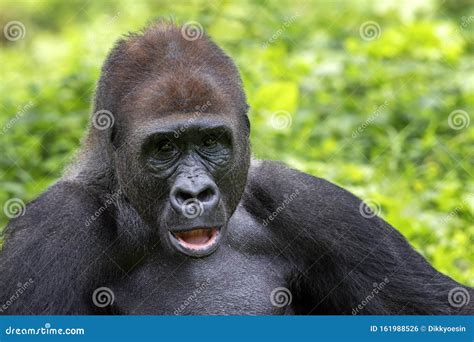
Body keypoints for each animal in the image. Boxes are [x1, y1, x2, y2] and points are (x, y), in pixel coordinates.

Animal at [0, 21, 474, 316]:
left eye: (211, 141)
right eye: (165, 147)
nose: (194, 194)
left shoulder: (318, 206)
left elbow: (448, 304)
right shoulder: (57, 224)